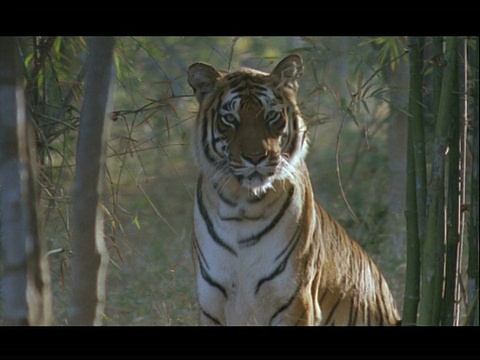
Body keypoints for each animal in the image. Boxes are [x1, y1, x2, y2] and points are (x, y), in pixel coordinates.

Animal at [188, 54, 402, 326]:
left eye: (271, 115)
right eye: (230, 119)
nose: (256, 157)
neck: (242, 205)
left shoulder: (295, 299)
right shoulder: (212, 303)